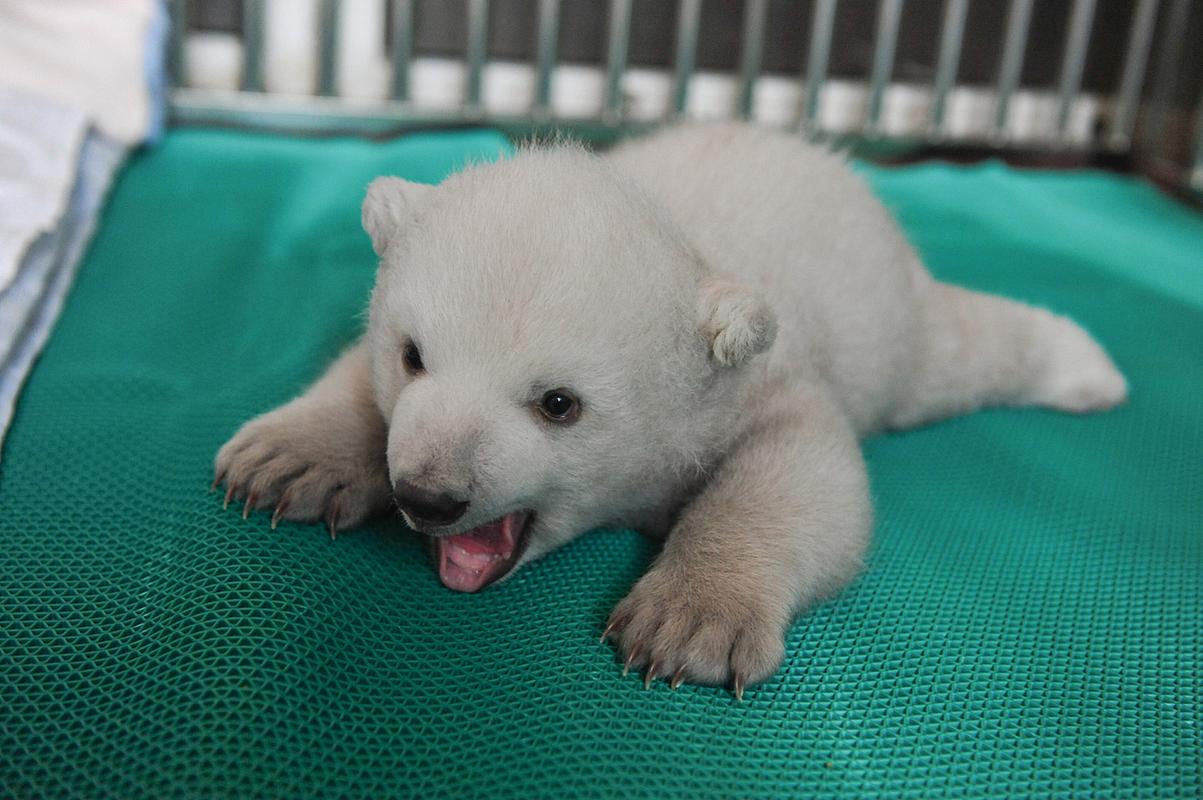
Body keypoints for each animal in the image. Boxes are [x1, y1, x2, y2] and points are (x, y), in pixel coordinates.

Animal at [214, 122, 1127, 698]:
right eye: (412, 355)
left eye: (557, 404)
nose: (428, 494)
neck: (683, 239)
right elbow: (347, 370)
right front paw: (288, 459)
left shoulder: (763, 372)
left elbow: (804, 473)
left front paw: (691, 618)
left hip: (890, 332)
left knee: (962, 353)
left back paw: (1088, 369)